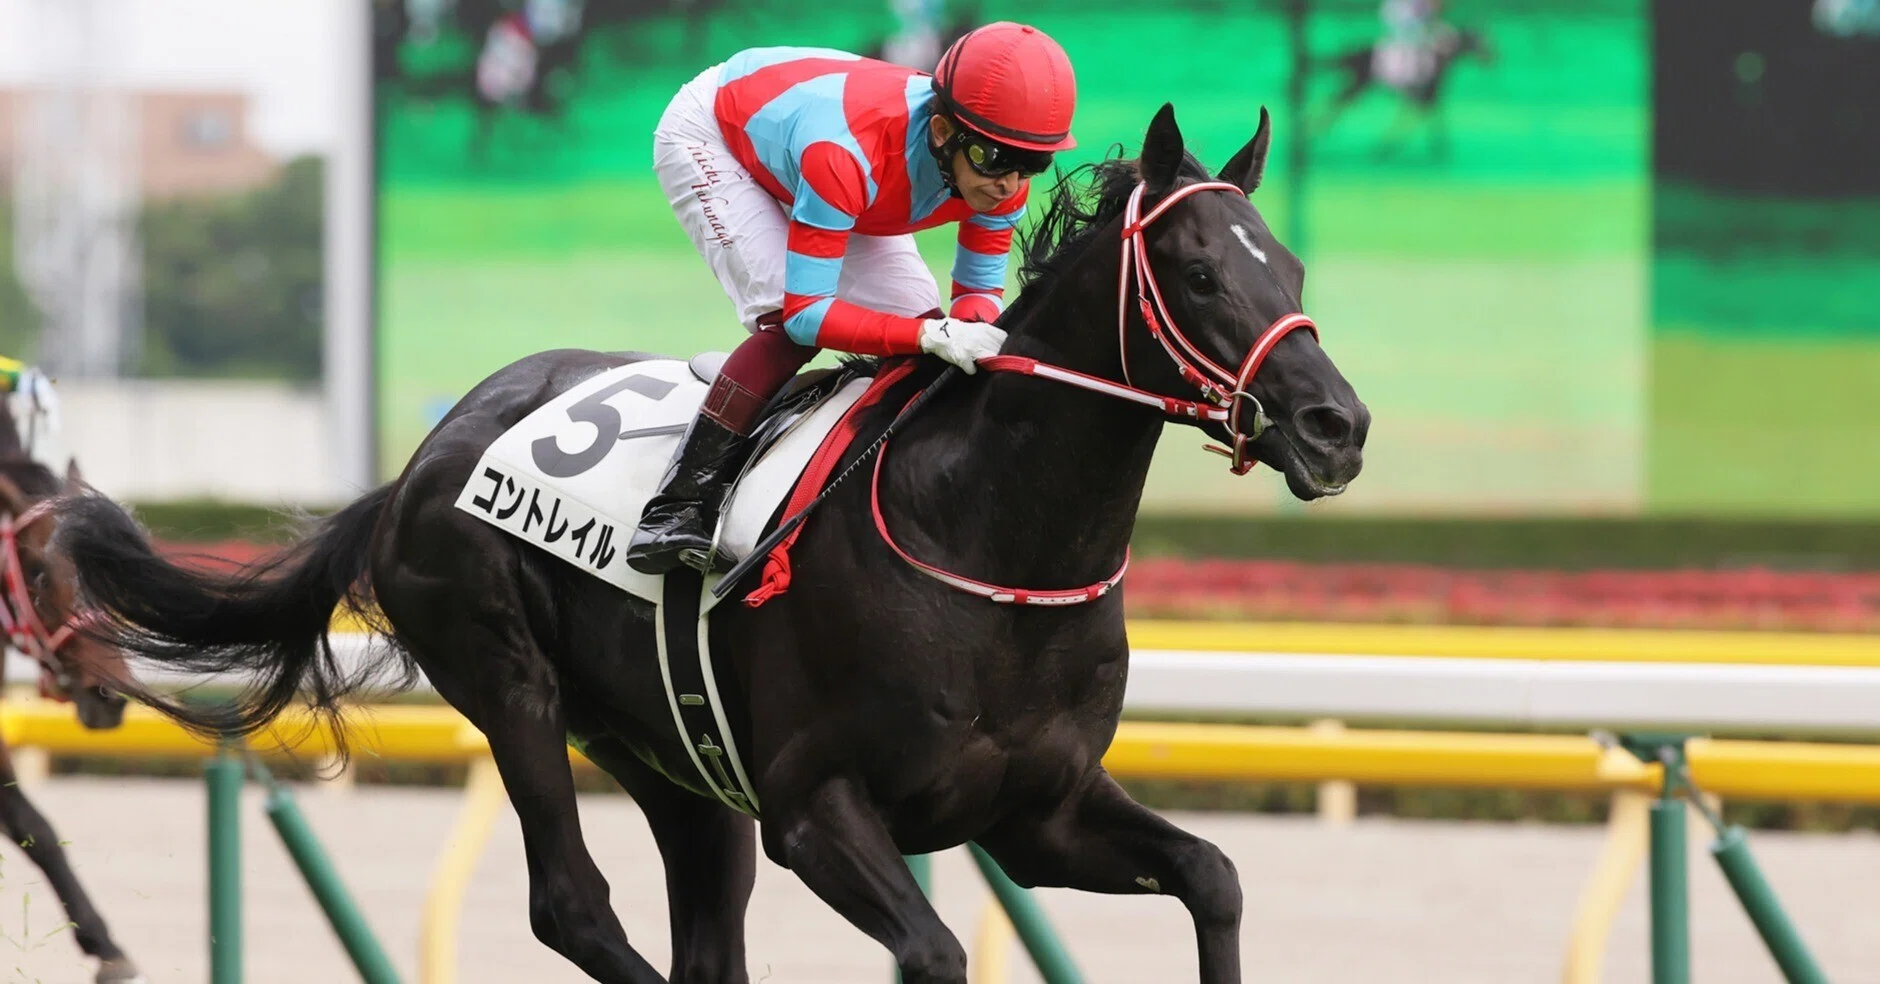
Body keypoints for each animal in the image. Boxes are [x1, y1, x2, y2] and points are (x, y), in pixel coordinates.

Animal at [51, 103, 1368, 983]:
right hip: (510, 683)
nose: (1335, 426)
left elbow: (1213, 876)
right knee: (572, 905)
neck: (993, 547)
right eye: (1197, 272)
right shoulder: (816, 810)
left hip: (669, 758)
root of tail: (420, 462)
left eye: (1293, 265)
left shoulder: (1034, 815)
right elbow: (936, 951)